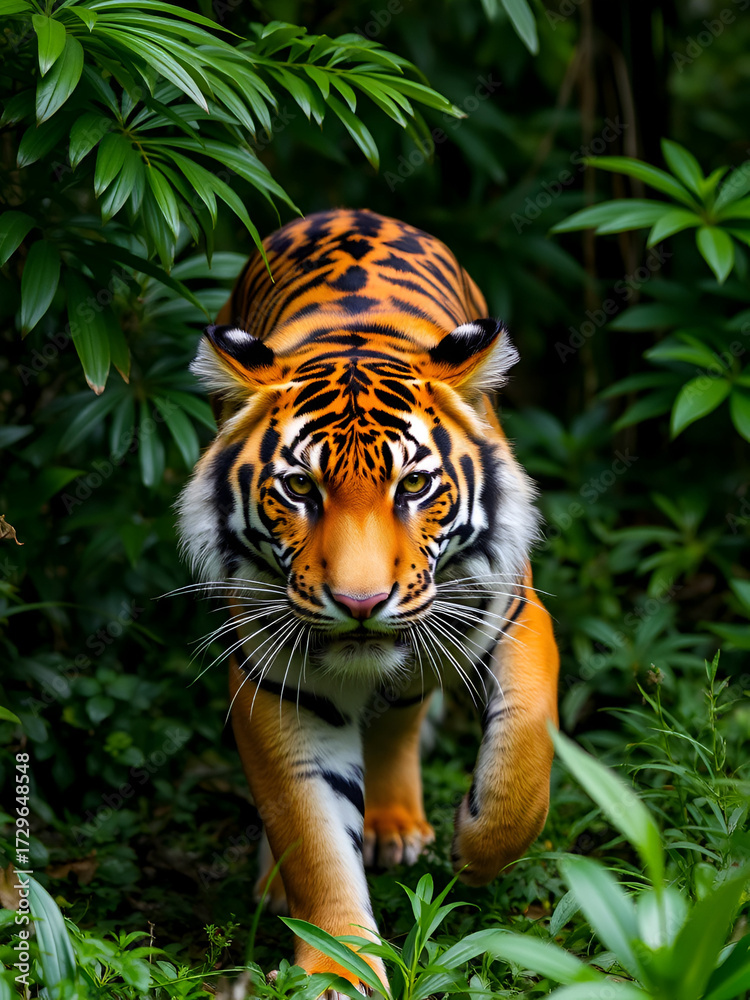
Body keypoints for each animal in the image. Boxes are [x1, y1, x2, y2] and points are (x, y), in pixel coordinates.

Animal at [177, 208, 559, 995]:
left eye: (414, 485)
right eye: (300, 487)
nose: (360, 602)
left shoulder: (516, 615)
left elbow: (522, 761)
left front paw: (475, 849)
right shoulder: (274, 683)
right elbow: (312, 833)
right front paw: (336, 970)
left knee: (405, 707)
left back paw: (395, 823)